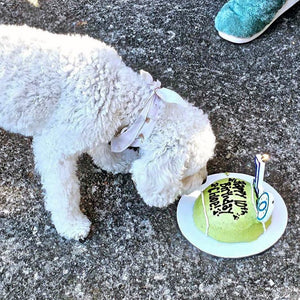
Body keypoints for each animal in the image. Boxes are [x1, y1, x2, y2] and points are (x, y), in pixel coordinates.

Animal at [0, 25, 216, 239]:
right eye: (190, 171)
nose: (205, 179)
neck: (117, 90)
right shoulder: (54, 148)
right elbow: (64, 191)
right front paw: (71, 224)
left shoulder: (98, 125)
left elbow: (102, 150)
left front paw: (117, 161)